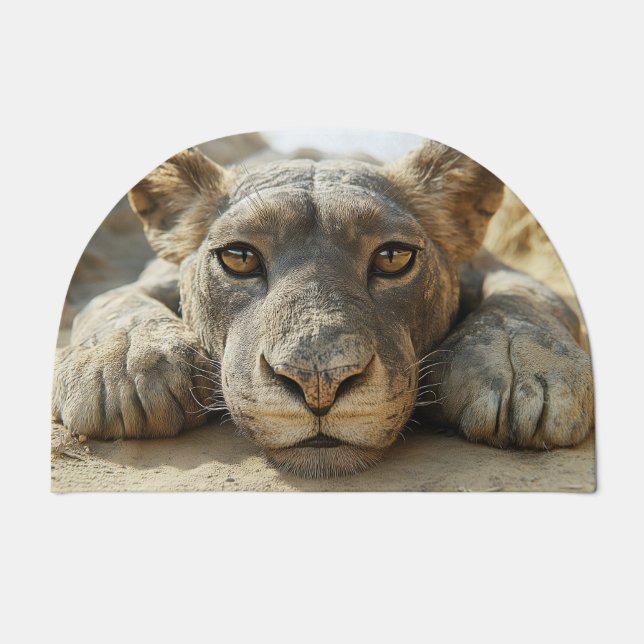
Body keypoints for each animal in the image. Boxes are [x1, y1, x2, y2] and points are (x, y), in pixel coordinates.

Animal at [52, 139, 594, 478]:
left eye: (393, 257)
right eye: (239, 257)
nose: (319, 383)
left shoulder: (494, 265)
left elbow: (527, 294)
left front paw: (525, 371)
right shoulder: (151, 276)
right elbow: (110, 298)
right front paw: (122, 367)